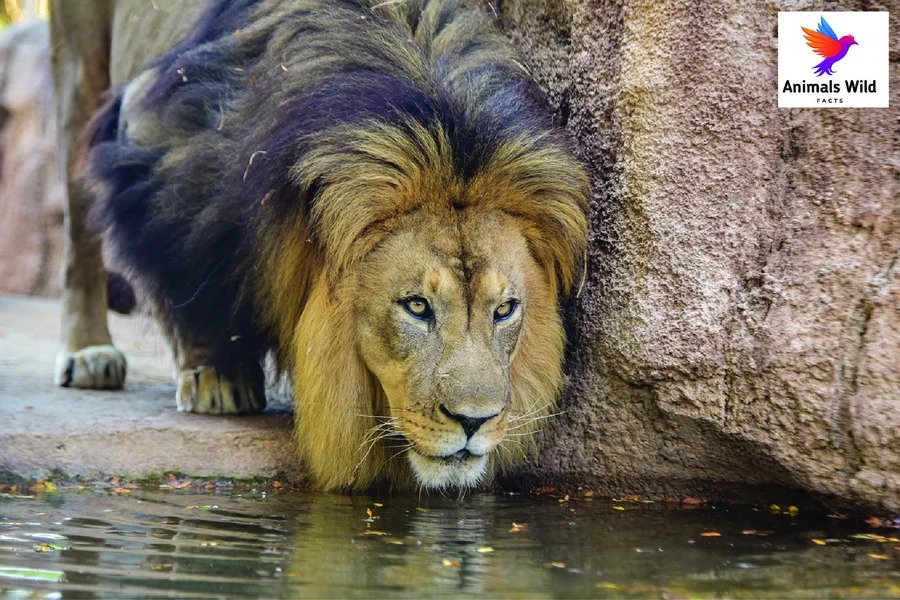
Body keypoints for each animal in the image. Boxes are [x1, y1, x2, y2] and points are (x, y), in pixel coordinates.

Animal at [51, 0, 588, 491]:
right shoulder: (159, 152)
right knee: (77, 223)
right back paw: (90, 353)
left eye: (505, 310)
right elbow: (185, 273)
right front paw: (216, 376)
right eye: (417, 306)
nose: (475, 422)